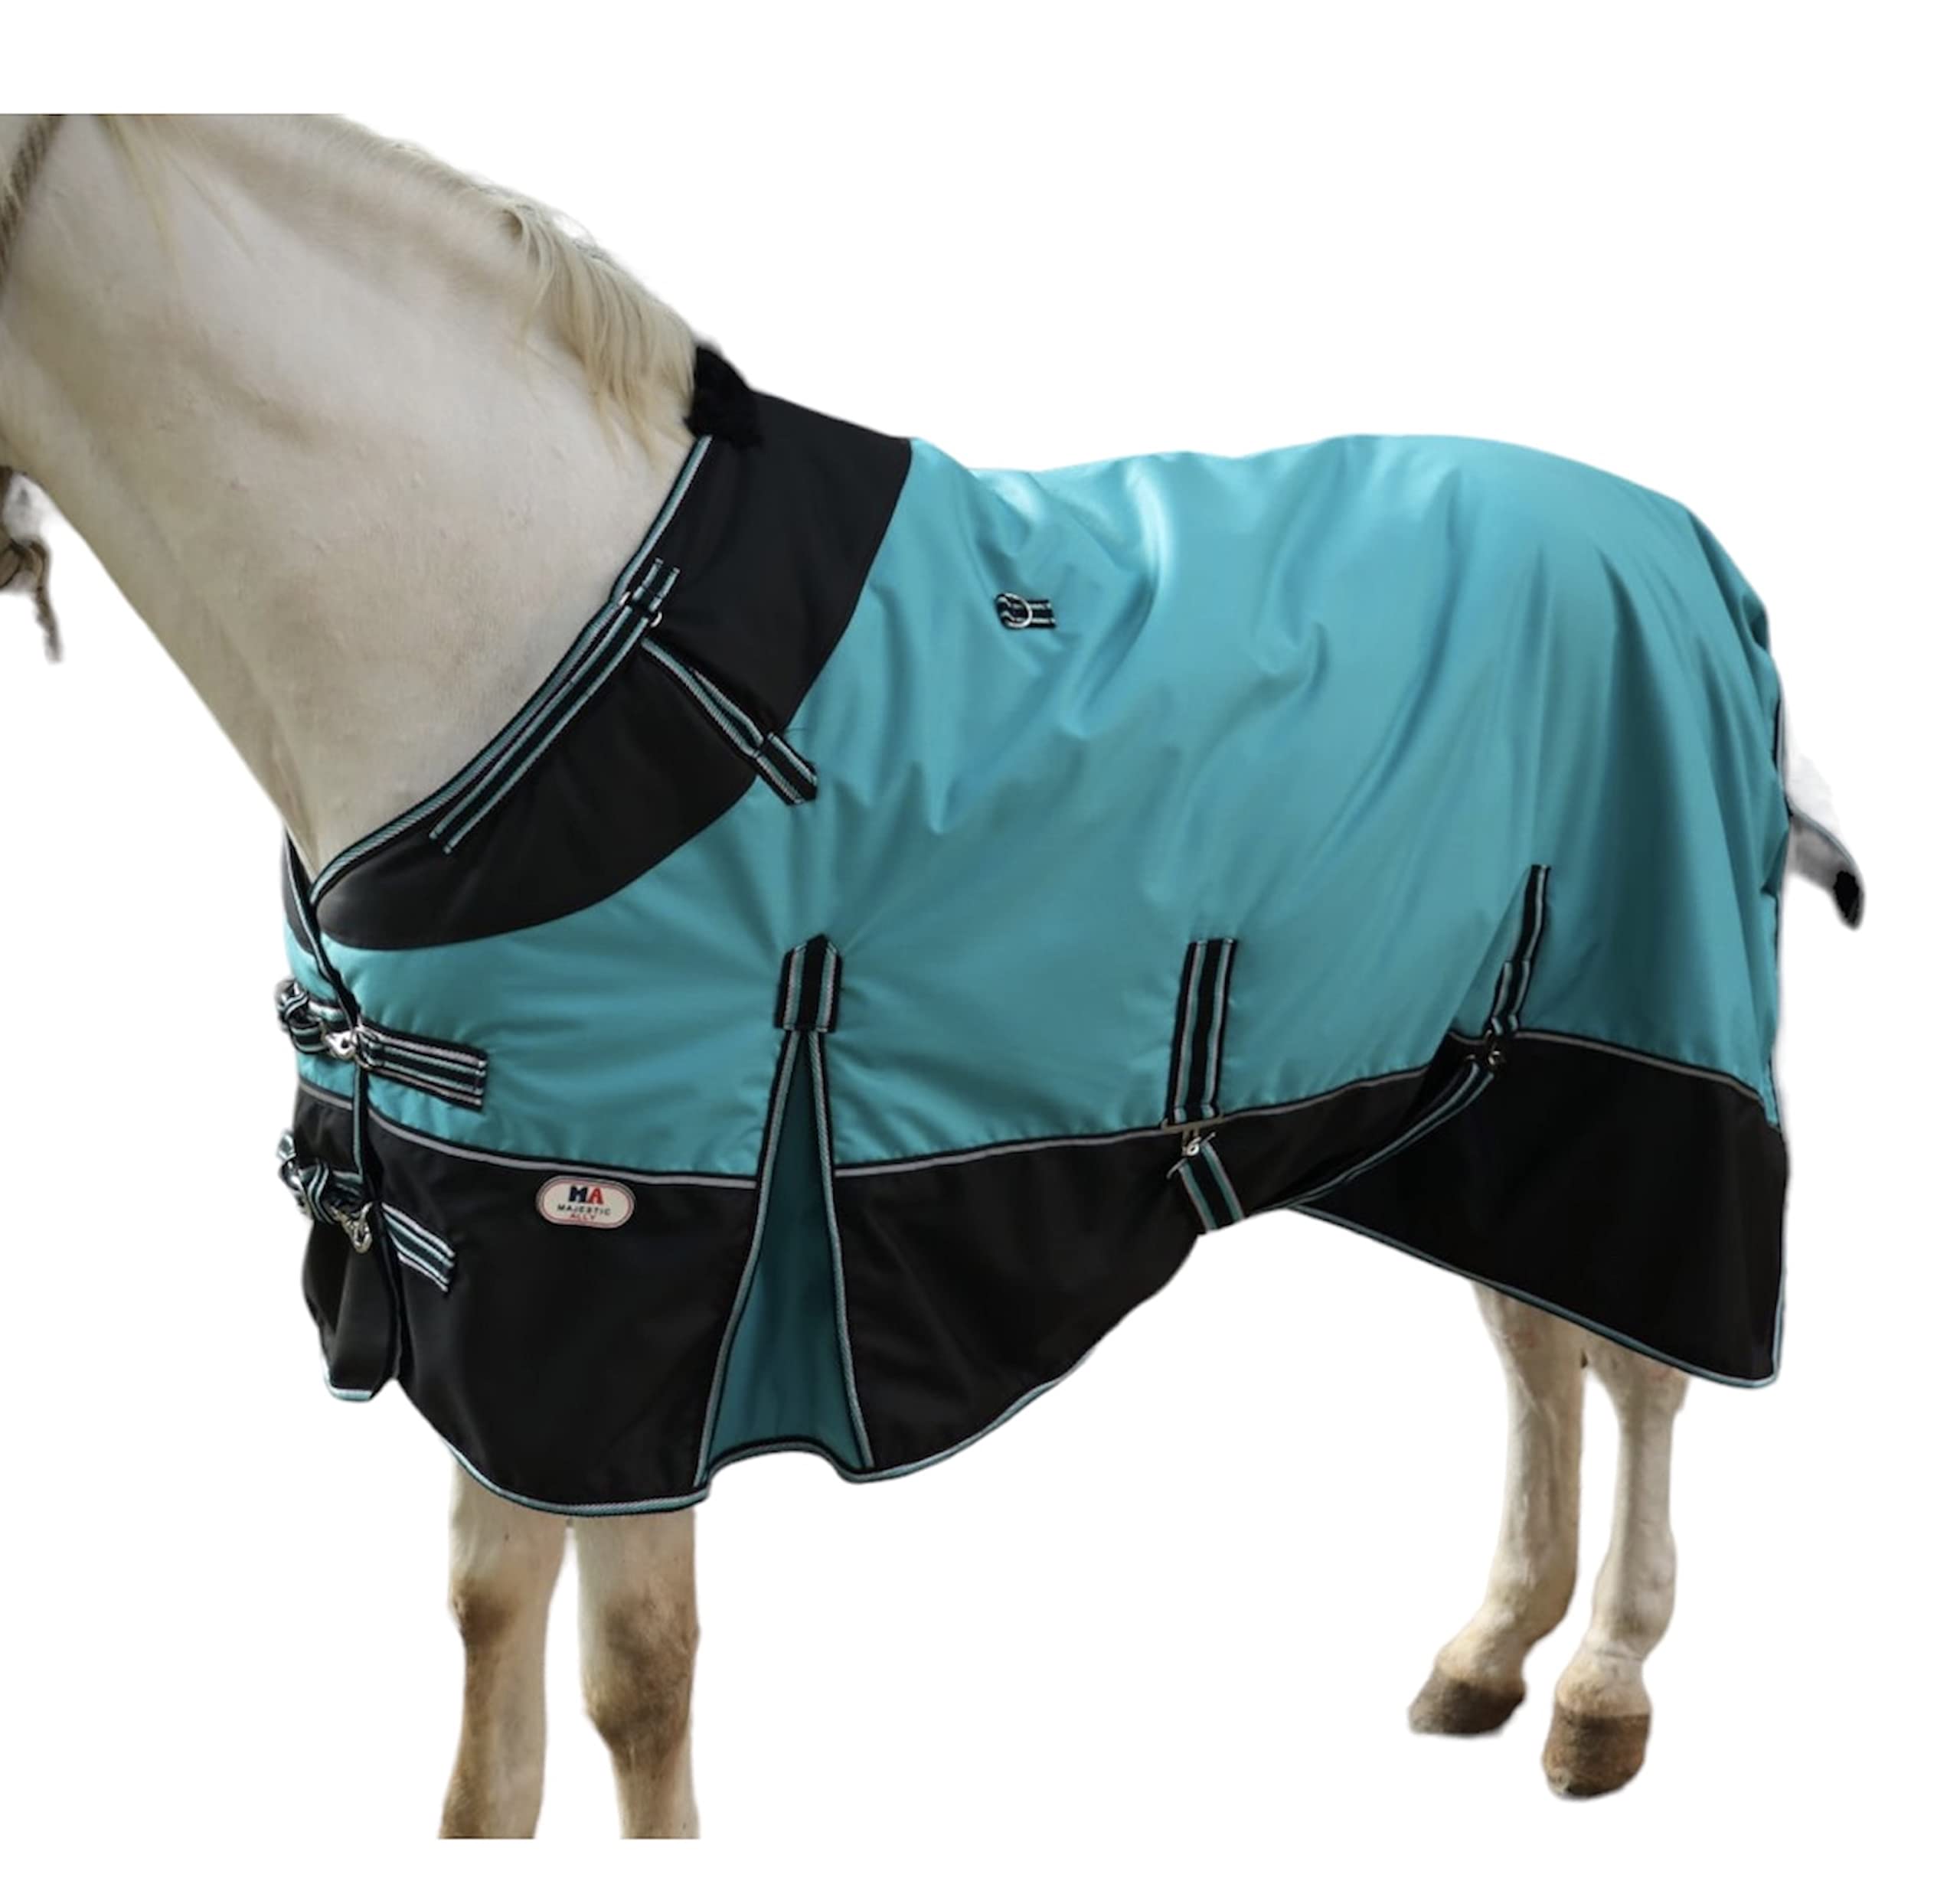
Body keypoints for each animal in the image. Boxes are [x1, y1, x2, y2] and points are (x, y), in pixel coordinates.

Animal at [0, 113, 1859, 1838]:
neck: (556, 626)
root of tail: (1693, 551)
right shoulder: (479, 1263)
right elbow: (487, 1637)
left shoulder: (623, 1259)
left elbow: (636, 1672)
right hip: (1479, 1094)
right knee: (1535, 1340)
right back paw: (1488, 1652)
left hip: (1642, 1061)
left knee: (1638, 1367)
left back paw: (1601, 1687)